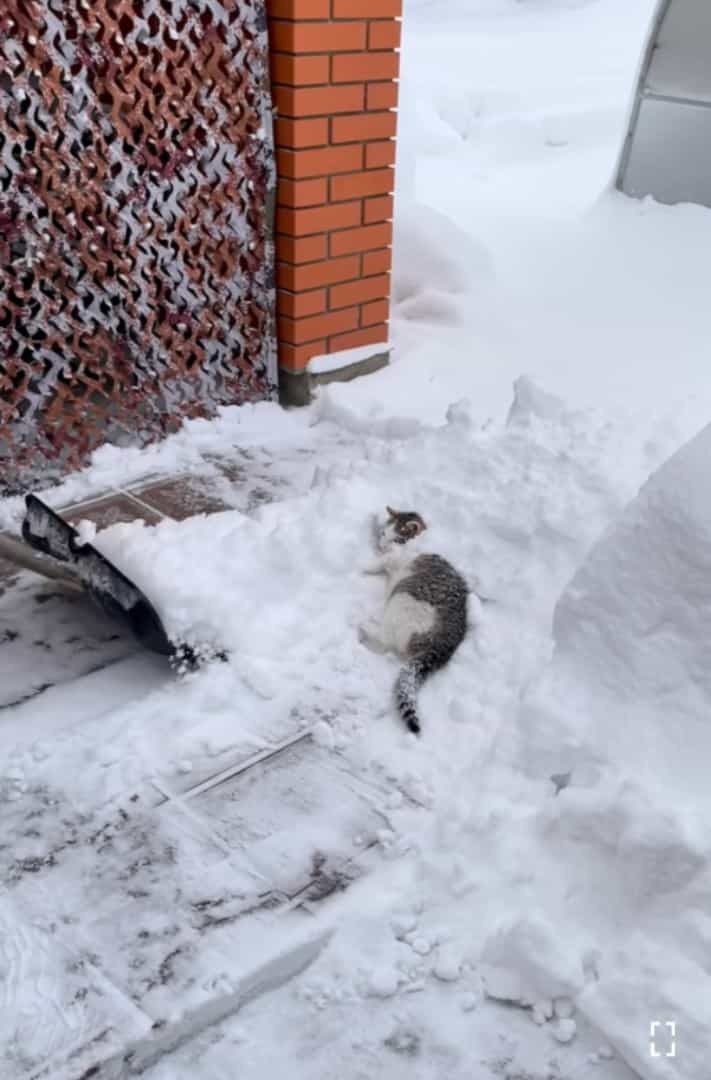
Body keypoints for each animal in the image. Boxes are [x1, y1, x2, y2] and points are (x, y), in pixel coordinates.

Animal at [360, 505, 464, 734]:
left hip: (405, 599)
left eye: (396, 539)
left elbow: (380, 562)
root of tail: (442, 647)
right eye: (383, 534)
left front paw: (364, 565)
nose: (382, 544)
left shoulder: (395, 558)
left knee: (387, 640)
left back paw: (365, 625)